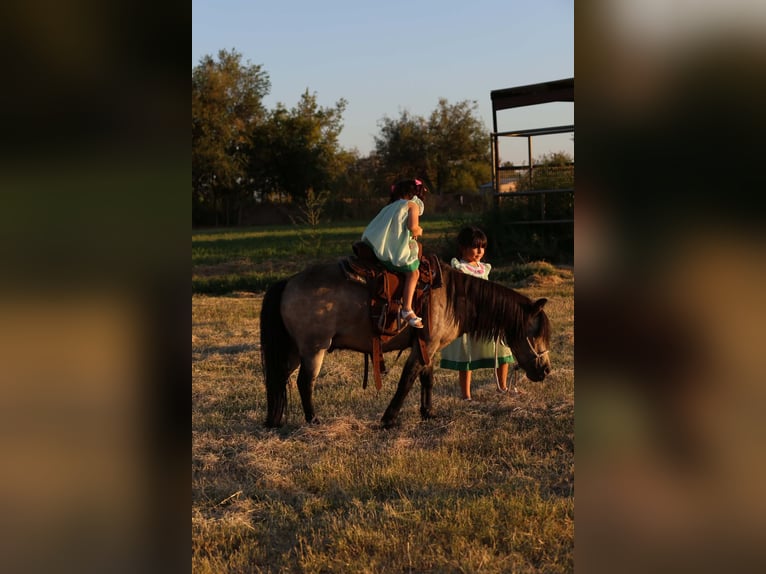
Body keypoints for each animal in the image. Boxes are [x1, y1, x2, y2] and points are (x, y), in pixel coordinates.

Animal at [259, 258, 551, 428]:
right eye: (536, 333)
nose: (546, 370)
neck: (451, 297)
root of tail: (288, 282)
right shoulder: (425, 347)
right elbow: (407, 380)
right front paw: (389, 418)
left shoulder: (427, 348)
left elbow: (426, 379)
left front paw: (428, 412)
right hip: (314, 349)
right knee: (304, 382)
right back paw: (313, 419)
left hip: (293, 351)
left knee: (280, 379)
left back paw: (276, 419)